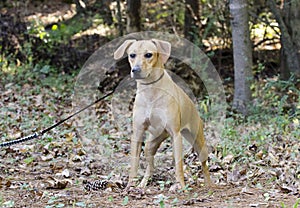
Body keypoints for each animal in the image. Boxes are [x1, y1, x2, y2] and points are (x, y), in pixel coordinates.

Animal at [113, 38, 210, 188]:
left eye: (148, 55)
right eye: (132, 55)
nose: (136, 70)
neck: (151, 90)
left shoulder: (175, 134)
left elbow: (179, 166)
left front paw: (181, 187)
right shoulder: (138, 132)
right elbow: (134, 163)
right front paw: (130, 185)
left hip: (198, 142)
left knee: (204, 165)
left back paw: (210, 184)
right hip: (151, 143)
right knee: (151, 165)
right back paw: (143, 184)